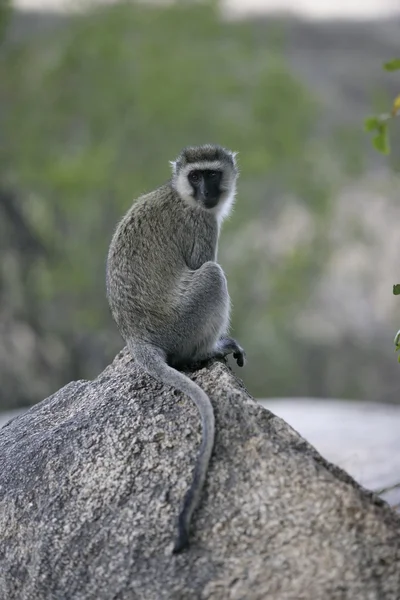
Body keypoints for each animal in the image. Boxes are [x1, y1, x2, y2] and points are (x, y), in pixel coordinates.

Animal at [104, 144, 245, 552]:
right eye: (196, 176)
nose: (206, 192)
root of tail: (137, 337)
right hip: (180, 325)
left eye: (211, 174)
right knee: (212, 275)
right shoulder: (202, 224)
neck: (183, 196)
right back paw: (205, 352)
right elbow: (201, 262)